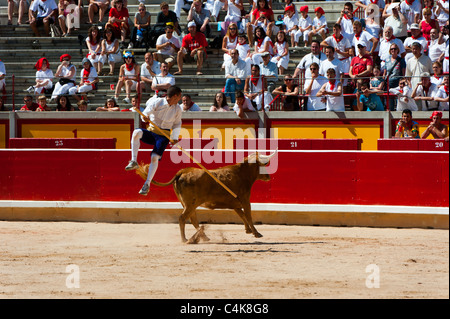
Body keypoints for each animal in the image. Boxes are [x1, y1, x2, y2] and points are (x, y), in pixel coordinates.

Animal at [136, 152, 278, 242]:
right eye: (263, 165)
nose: (268, 177)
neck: (242, 173)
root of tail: (182, 171)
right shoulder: (245, 200)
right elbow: (248, 215)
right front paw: (256, 233)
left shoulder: (235, 204)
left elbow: (242, 216)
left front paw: (248, 230)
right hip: (190, 203)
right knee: (183, 218)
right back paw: (185, 239)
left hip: (188, 204)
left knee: (192, 219)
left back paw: (203, 237)